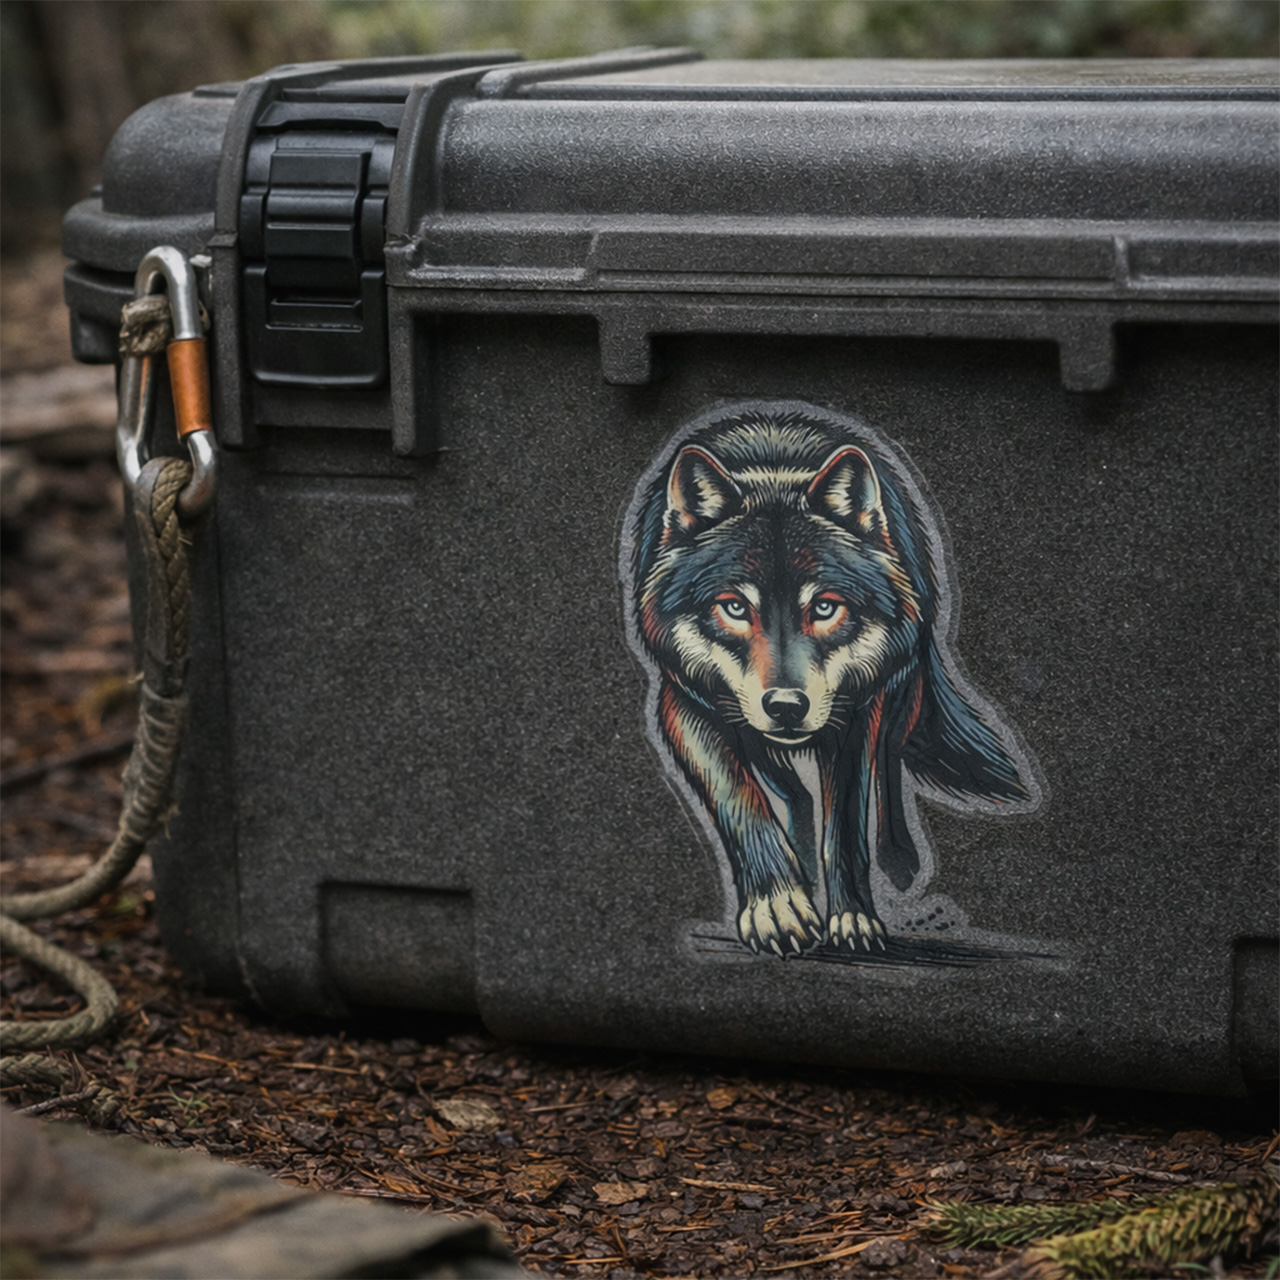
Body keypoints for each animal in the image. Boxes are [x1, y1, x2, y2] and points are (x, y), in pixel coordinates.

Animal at [624, 404, 1037, 957]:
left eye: (824, 607)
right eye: (734, 607)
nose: (785, 706)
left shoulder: (855, 716)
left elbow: (844, 828)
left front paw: (853, 917)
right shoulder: (683, 703)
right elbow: (741, 803)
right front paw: (778, 905)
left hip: (897, 689)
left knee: (888, 767)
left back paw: (899, 863)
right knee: (788, 792)